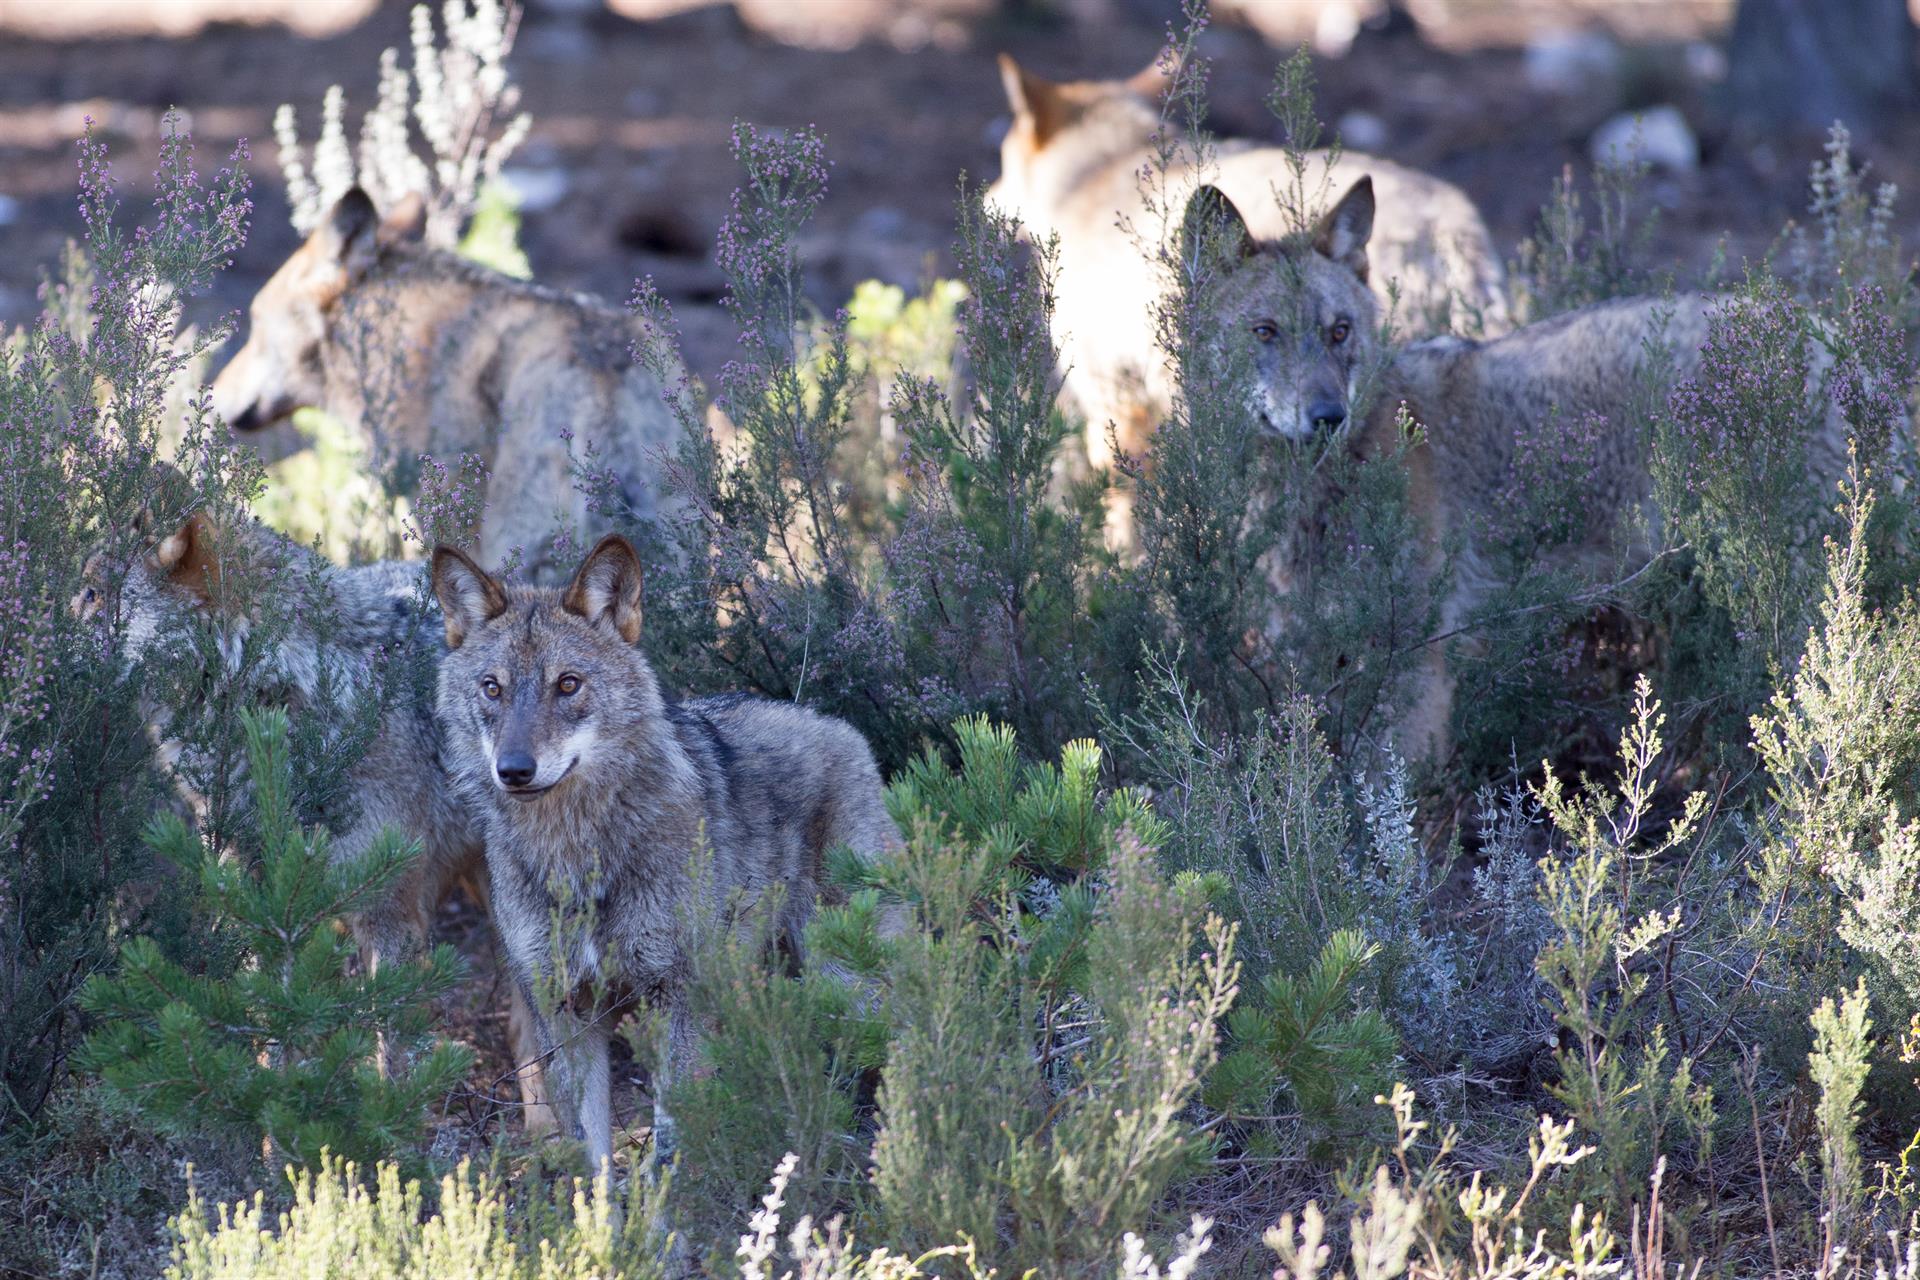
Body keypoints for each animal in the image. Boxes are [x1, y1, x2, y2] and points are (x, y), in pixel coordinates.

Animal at [74, 498, 552, 1128]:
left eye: (90, 596)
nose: (32, 644)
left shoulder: (389, 911)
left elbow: (392, 1054)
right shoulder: (261, 902)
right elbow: (273, 1032)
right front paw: (271, 1133)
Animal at [428, 537, 898, 1174]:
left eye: (568, 685)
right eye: (492, 688)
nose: (515, 770)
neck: (578, 857)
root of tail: (837, 724)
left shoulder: (674, 1001)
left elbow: (672, 1150)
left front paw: (663, 1205)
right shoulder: (565, 1015)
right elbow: (592, 1163)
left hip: (850, 983)